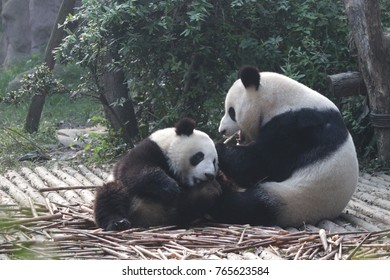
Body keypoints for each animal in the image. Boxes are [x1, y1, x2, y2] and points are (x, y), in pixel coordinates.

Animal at [213, 66, 360, 228]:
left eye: (231, 112)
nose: (222, 130)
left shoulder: (296, 126)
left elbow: (261, 163)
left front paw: (217, 147)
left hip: (294, 198)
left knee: (250, 205)